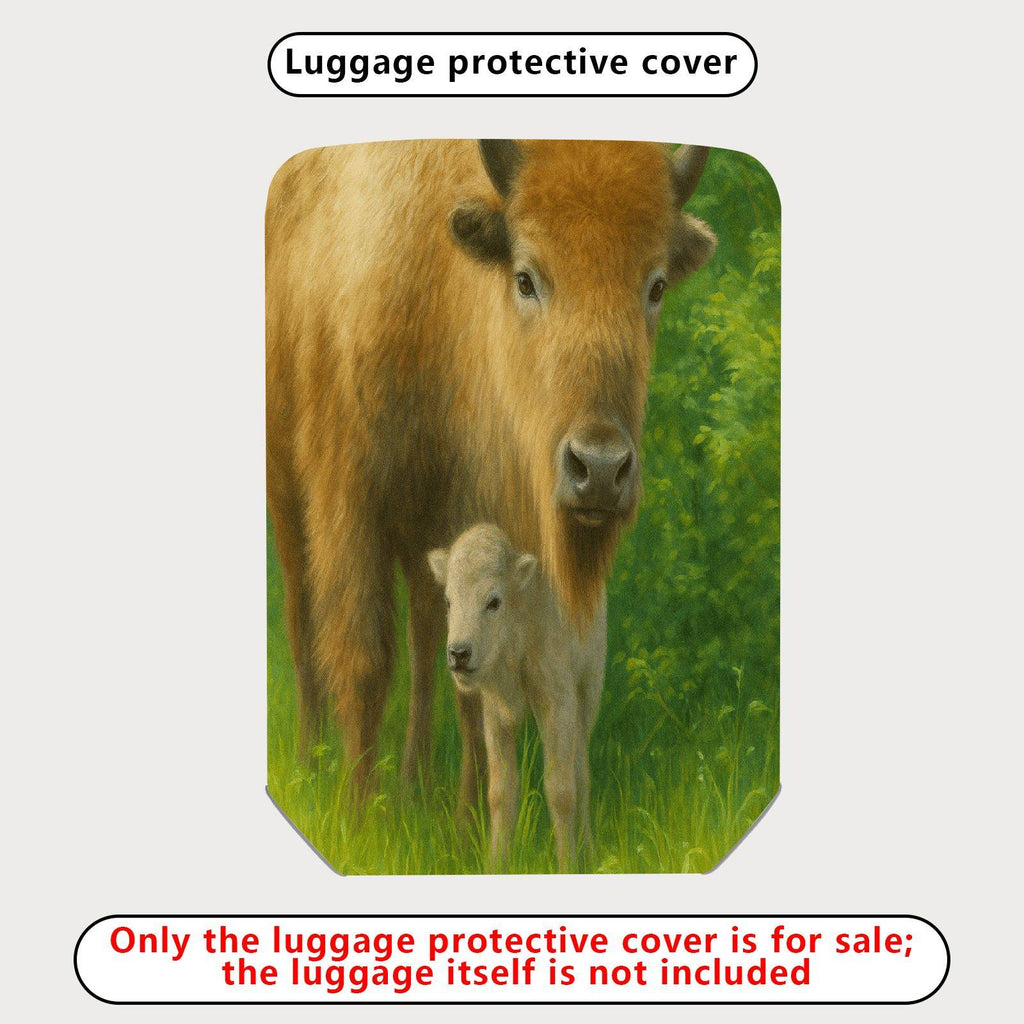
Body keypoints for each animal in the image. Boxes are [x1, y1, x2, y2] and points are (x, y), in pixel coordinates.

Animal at [265, 139, 716, 808]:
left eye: (656, 286)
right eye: (526, 278)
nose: (599, 470)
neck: (442, 294)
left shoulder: (481, 515)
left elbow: (474, 683)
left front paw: (470, 820)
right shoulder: (349, 498)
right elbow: (363, 659)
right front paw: (358, 814)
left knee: (427, 638)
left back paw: (416, 783)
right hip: (286, 489)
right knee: (302, 619)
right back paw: (310, 765)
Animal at [429, 523, 606, 871]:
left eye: (494, 601)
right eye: (448, 601)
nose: (459, 653)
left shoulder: (557, 705)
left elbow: (561, 789)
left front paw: (567, 866)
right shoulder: (496, 716)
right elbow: (501, 791)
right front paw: (495, 865)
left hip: (588, 694)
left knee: (581, 772)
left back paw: (590, 851)